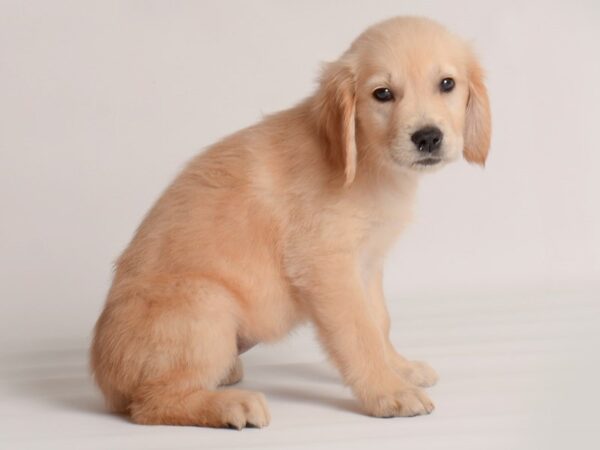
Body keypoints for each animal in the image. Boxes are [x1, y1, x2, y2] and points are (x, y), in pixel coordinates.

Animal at [91, 16, 490, 428]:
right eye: (382, 94)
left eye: (447, 84)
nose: (427, 137)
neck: (365, 161)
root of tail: (104, 380)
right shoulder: (326, 266)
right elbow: (359, 333)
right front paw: (387, 391)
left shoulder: (367, 265)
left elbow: (379, 321)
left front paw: (400, 368)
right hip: (205, 302)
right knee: (151, 403)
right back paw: (230, 405)